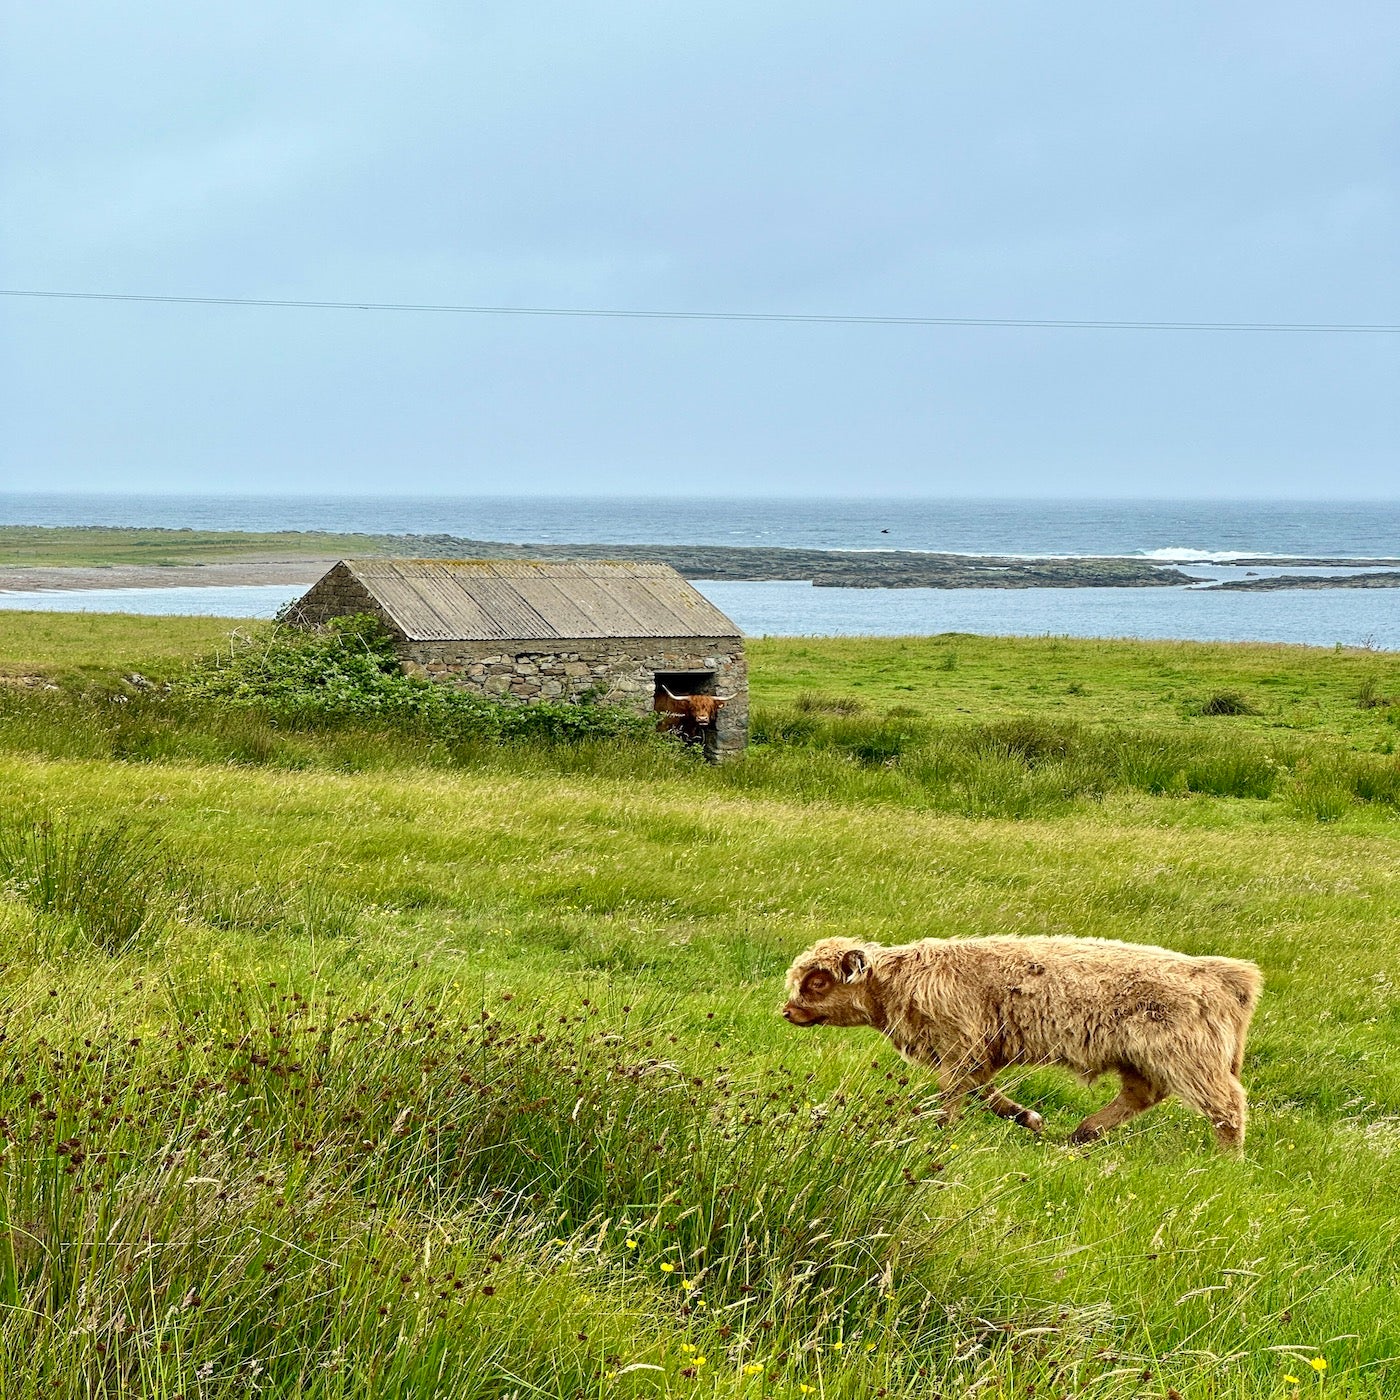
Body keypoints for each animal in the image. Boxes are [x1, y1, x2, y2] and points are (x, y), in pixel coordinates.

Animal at [781, 934, 1262, 1152]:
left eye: (818, 982)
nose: (786, 1011)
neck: (900, 982)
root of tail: (1223, 972)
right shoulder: (978, 1053)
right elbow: (983, 1091)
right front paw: (1028, 1118)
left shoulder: (961, 1046)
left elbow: (954, 1093)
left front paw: (940, 1132)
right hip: (1142, 1059)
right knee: (1141, 1095)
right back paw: (1083, 1134)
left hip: (1188, 1058)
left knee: (1226, 1104)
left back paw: (1228, 1159)